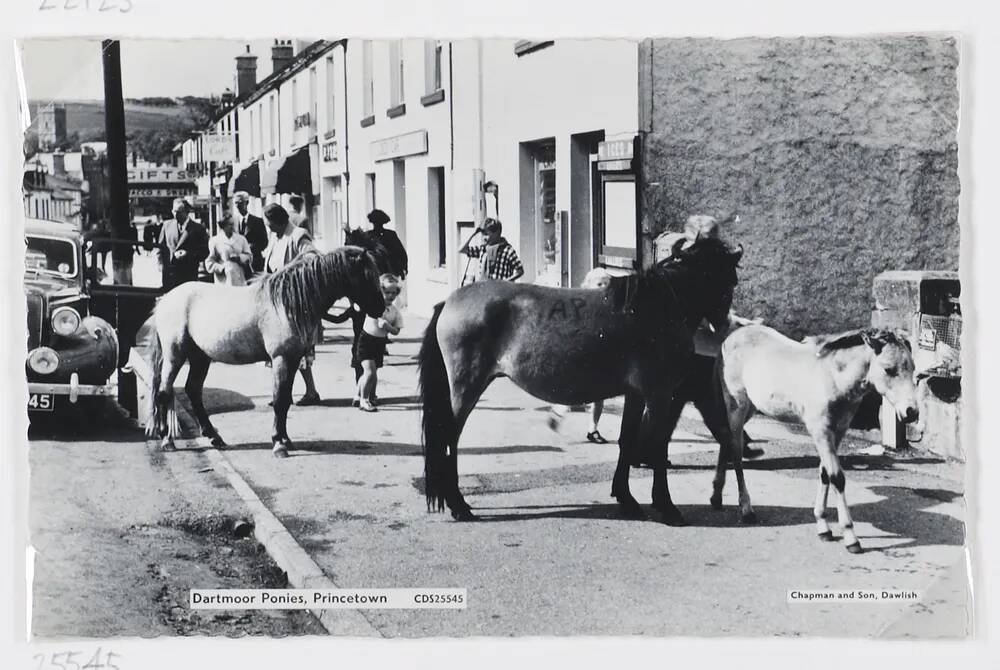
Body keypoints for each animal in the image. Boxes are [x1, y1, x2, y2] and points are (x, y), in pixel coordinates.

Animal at [416, 239, 744, 528]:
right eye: (726, 279)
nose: (725, 324)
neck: (656, 308)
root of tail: (449, 302)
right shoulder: (659, 394)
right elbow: (658, 446)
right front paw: (666, 506)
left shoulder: (636, 394)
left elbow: (627, 440)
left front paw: (626, 498)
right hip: (466, 388)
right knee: (449, 437)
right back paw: (458, 504)